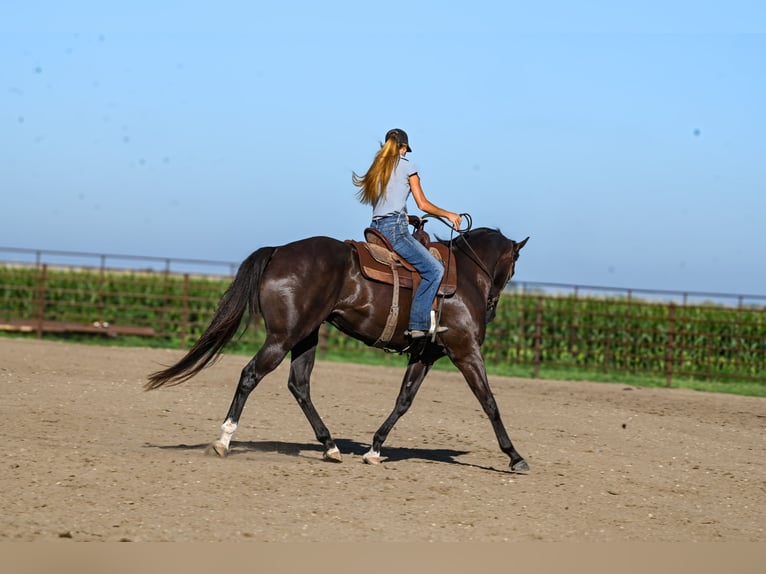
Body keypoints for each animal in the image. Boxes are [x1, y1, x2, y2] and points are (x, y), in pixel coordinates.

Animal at [146, 220, 530, 471]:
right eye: (512, 266)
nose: (492, 307)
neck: (464, 277)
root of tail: (278, 252)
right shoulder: (465, 351)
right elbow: (489, 402)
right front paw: (515, 456)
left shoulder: (426, 354)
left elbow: (404, 400)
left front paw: (375, 449)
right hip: (283, 337)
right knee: (251, 375)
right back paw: (224, 440)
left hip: (306, 336)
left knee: (299, 384)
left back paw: (330, 446)